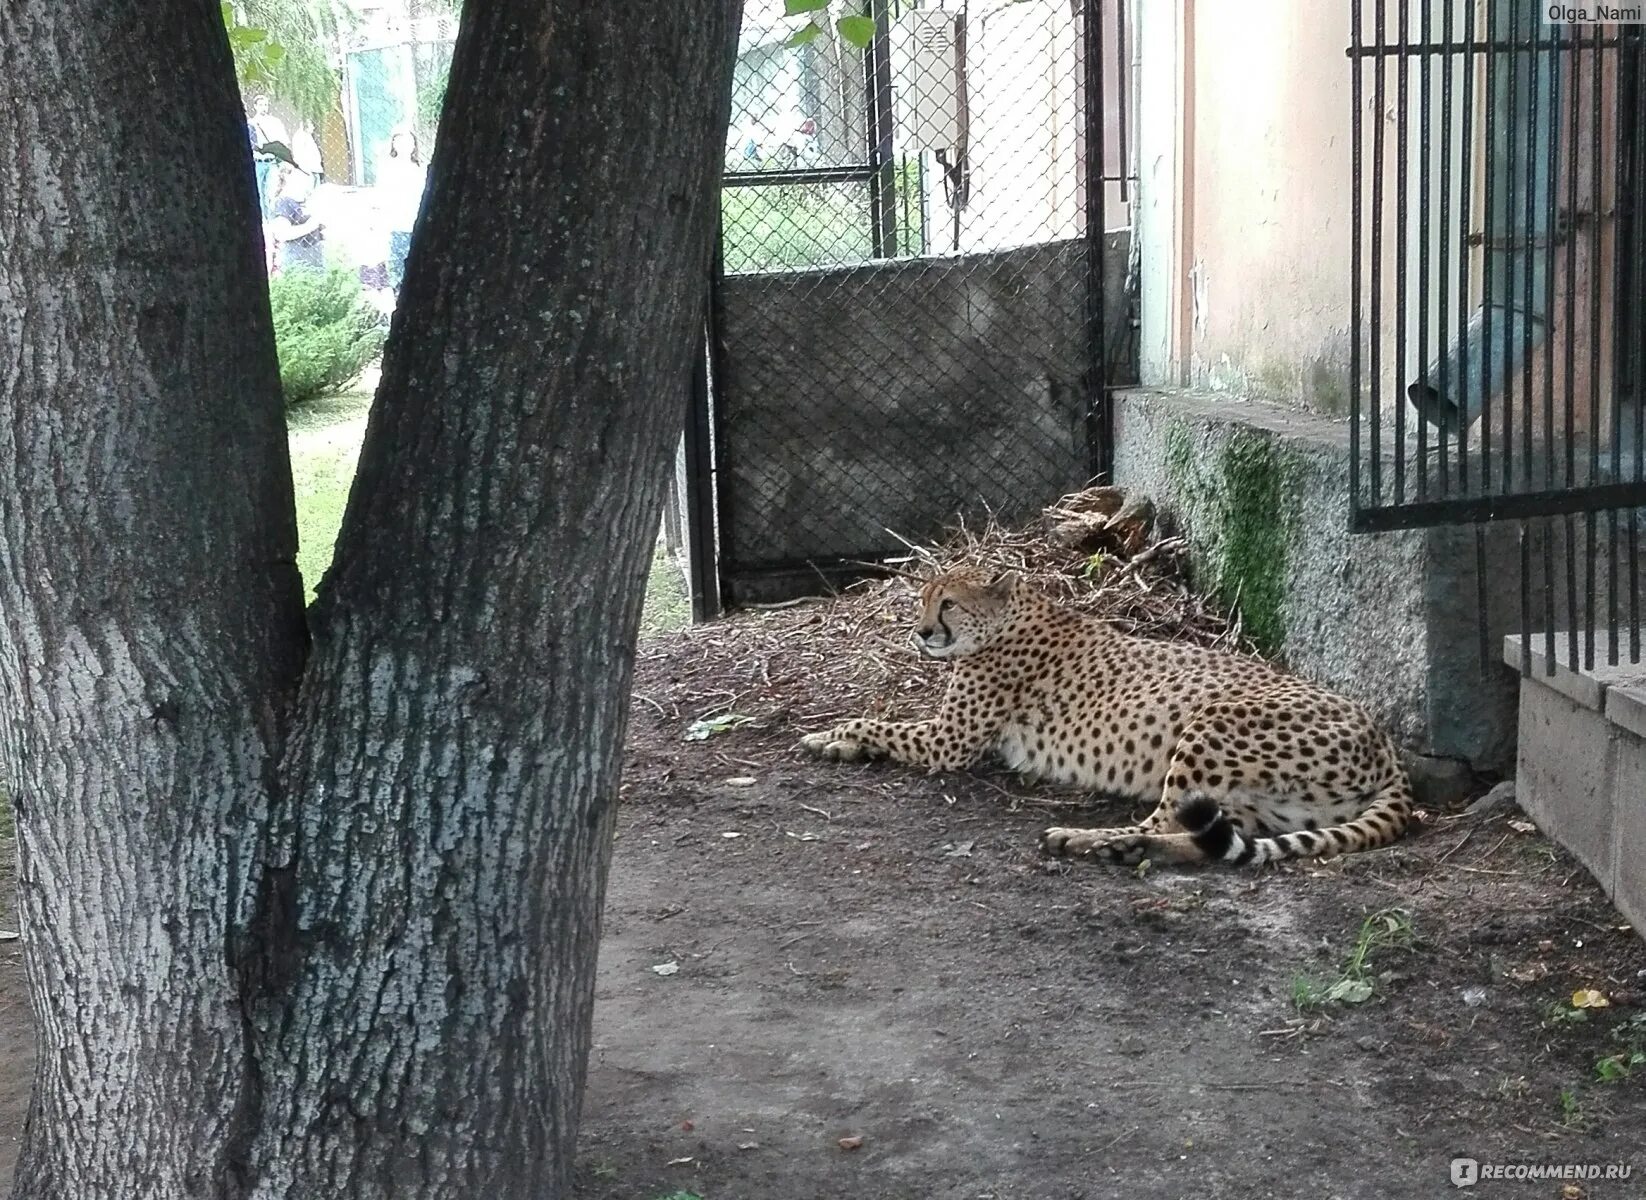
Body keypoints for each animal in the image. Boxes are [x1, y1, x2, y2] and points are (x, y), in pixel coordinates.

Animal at [796, 566, 1415, 869]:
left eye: (948, 604)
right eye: (920, 600)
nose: (922, 633)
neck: (1011, 615)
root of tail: (1383, 740)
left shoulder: (949, 742)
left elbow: (877, 721)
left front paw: (827, 736)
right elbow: (884, 718)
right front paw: (834, 737)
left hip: (1211, 723)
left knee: (1162, 821)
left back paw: (1084, 839)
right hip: (1267, 806)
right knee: (1216, 839)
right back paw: (1123, 851)